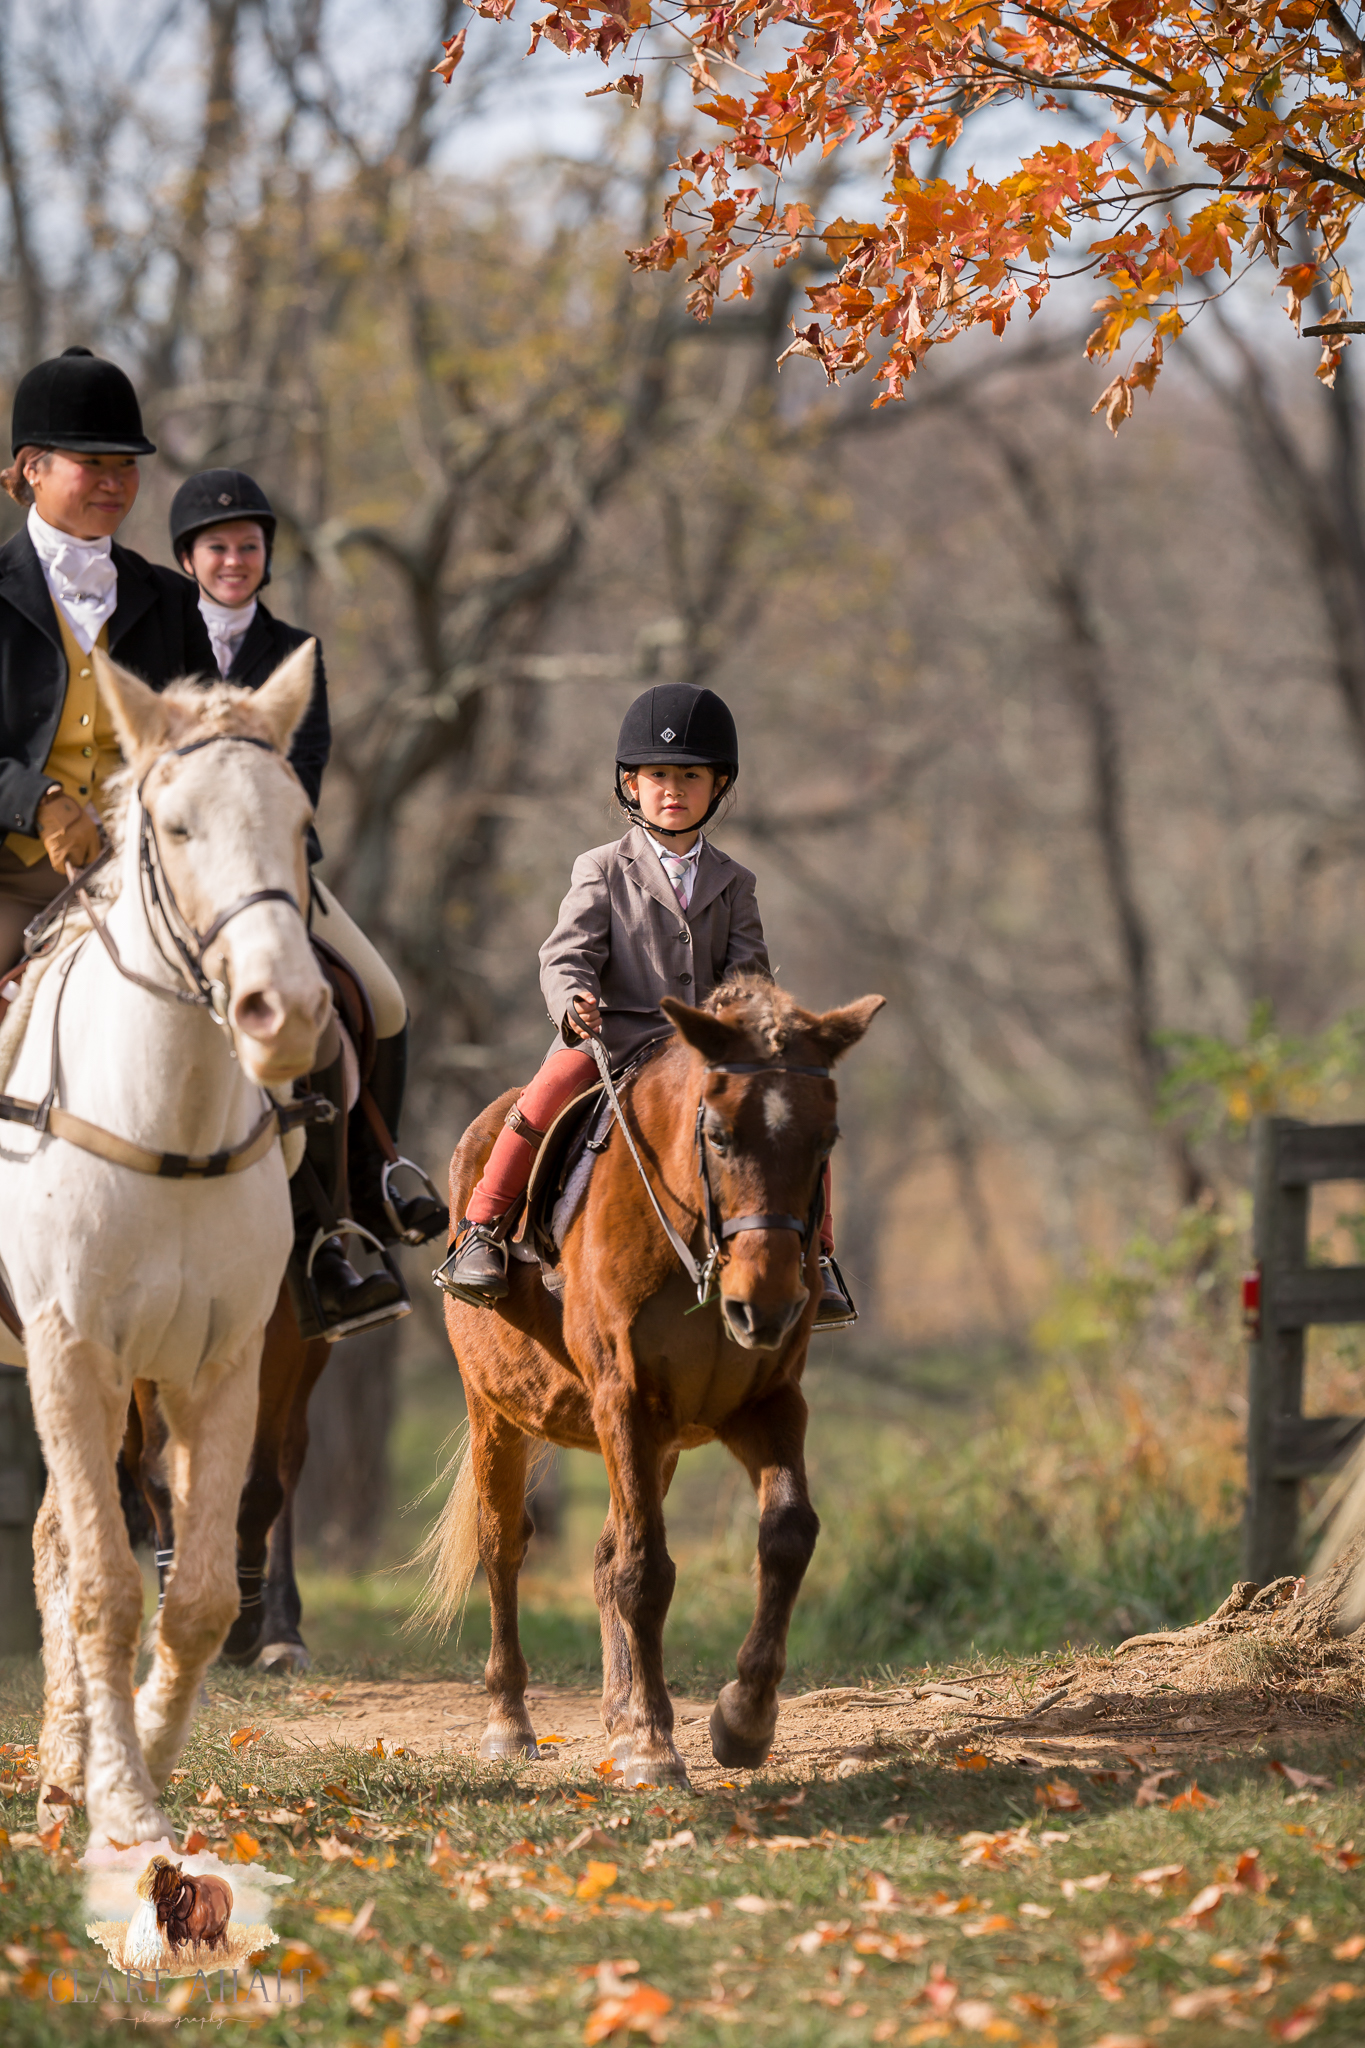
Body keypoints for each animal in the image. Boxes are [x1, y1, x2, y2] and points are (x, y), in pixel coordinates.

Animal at [0, 647, 327, 1851]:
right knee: (65, 1547)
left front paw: (136, 1752)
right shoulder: (69, 1354)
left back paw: (63, 1765)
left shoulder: (225, 1367)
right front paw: (127, 1806)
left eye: (301, 825)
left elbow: (197, 1600)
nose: (285, 1011)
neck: (168, 1124)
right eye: (177, 827)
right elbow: (104, 1583)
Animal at [421, 978, 888, 1794]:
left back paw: (617, 1709)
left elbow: (787, 1535)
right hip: (497, 1415)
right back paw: (510, 1721)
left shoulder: (764, 1405)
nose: (766, 1304)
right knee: (504, 1546)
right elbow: (644, 1571)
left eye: (824, 1142)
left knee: (604, 1552)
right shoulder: (626, 1403)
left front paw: (742, 1719)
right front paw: (652, 1745)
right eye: (720, 1137)